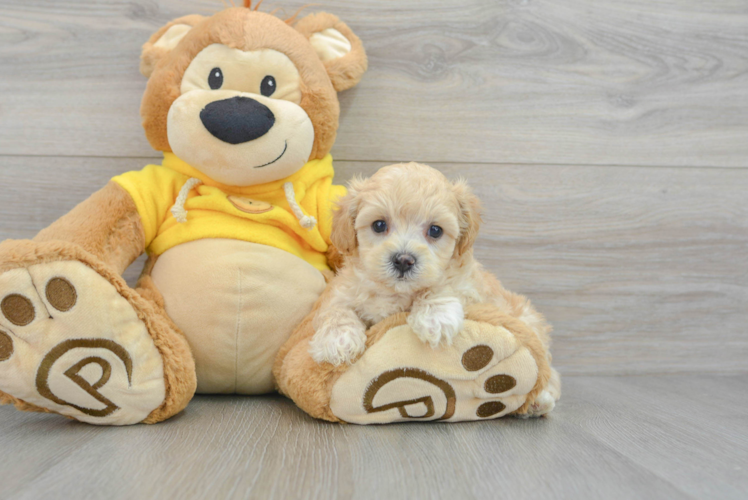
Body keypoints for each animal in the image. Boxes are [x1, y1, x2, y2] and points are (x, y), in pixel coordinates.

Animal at [306, 164, 552, 376]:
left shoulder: (469, 285)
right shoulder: (343, 288)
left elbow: (443, 284)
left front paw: (435, 317)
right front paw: (337, 340)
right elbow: (334, 308)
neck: (396, 292)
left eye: (435, 230)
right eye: (379, 225)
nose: (404, 260)